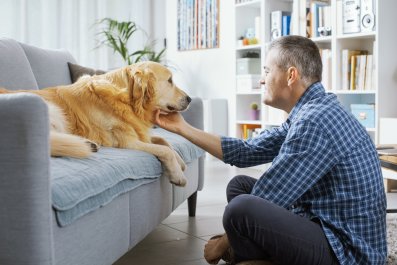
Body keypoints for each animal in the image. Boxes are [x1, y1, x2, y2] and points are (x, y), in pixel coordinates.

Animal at [0, 61, 190, 186]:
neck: (126, 100)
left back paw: (88, 144)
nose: (189, 99)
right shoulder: (126, 142)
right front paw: (177, 174)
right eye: (170, 80)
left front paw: (180, 161)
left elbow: (165, 142)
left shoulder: (140, 134)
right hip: (52, 110)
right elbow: (165, 150)